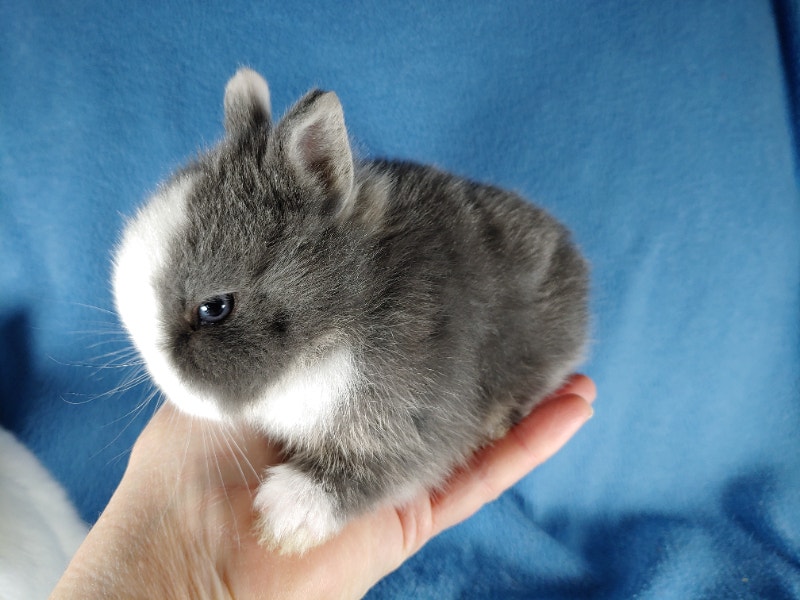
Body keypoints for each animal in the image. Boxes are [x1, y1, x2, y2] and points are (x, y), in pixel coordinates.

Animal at [112, 68, 589, 555]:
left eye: (214, 308)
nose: (165, 381)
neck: (342, 315)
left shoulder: (413, 415)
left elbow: (382, 463)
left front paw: (287, 512)